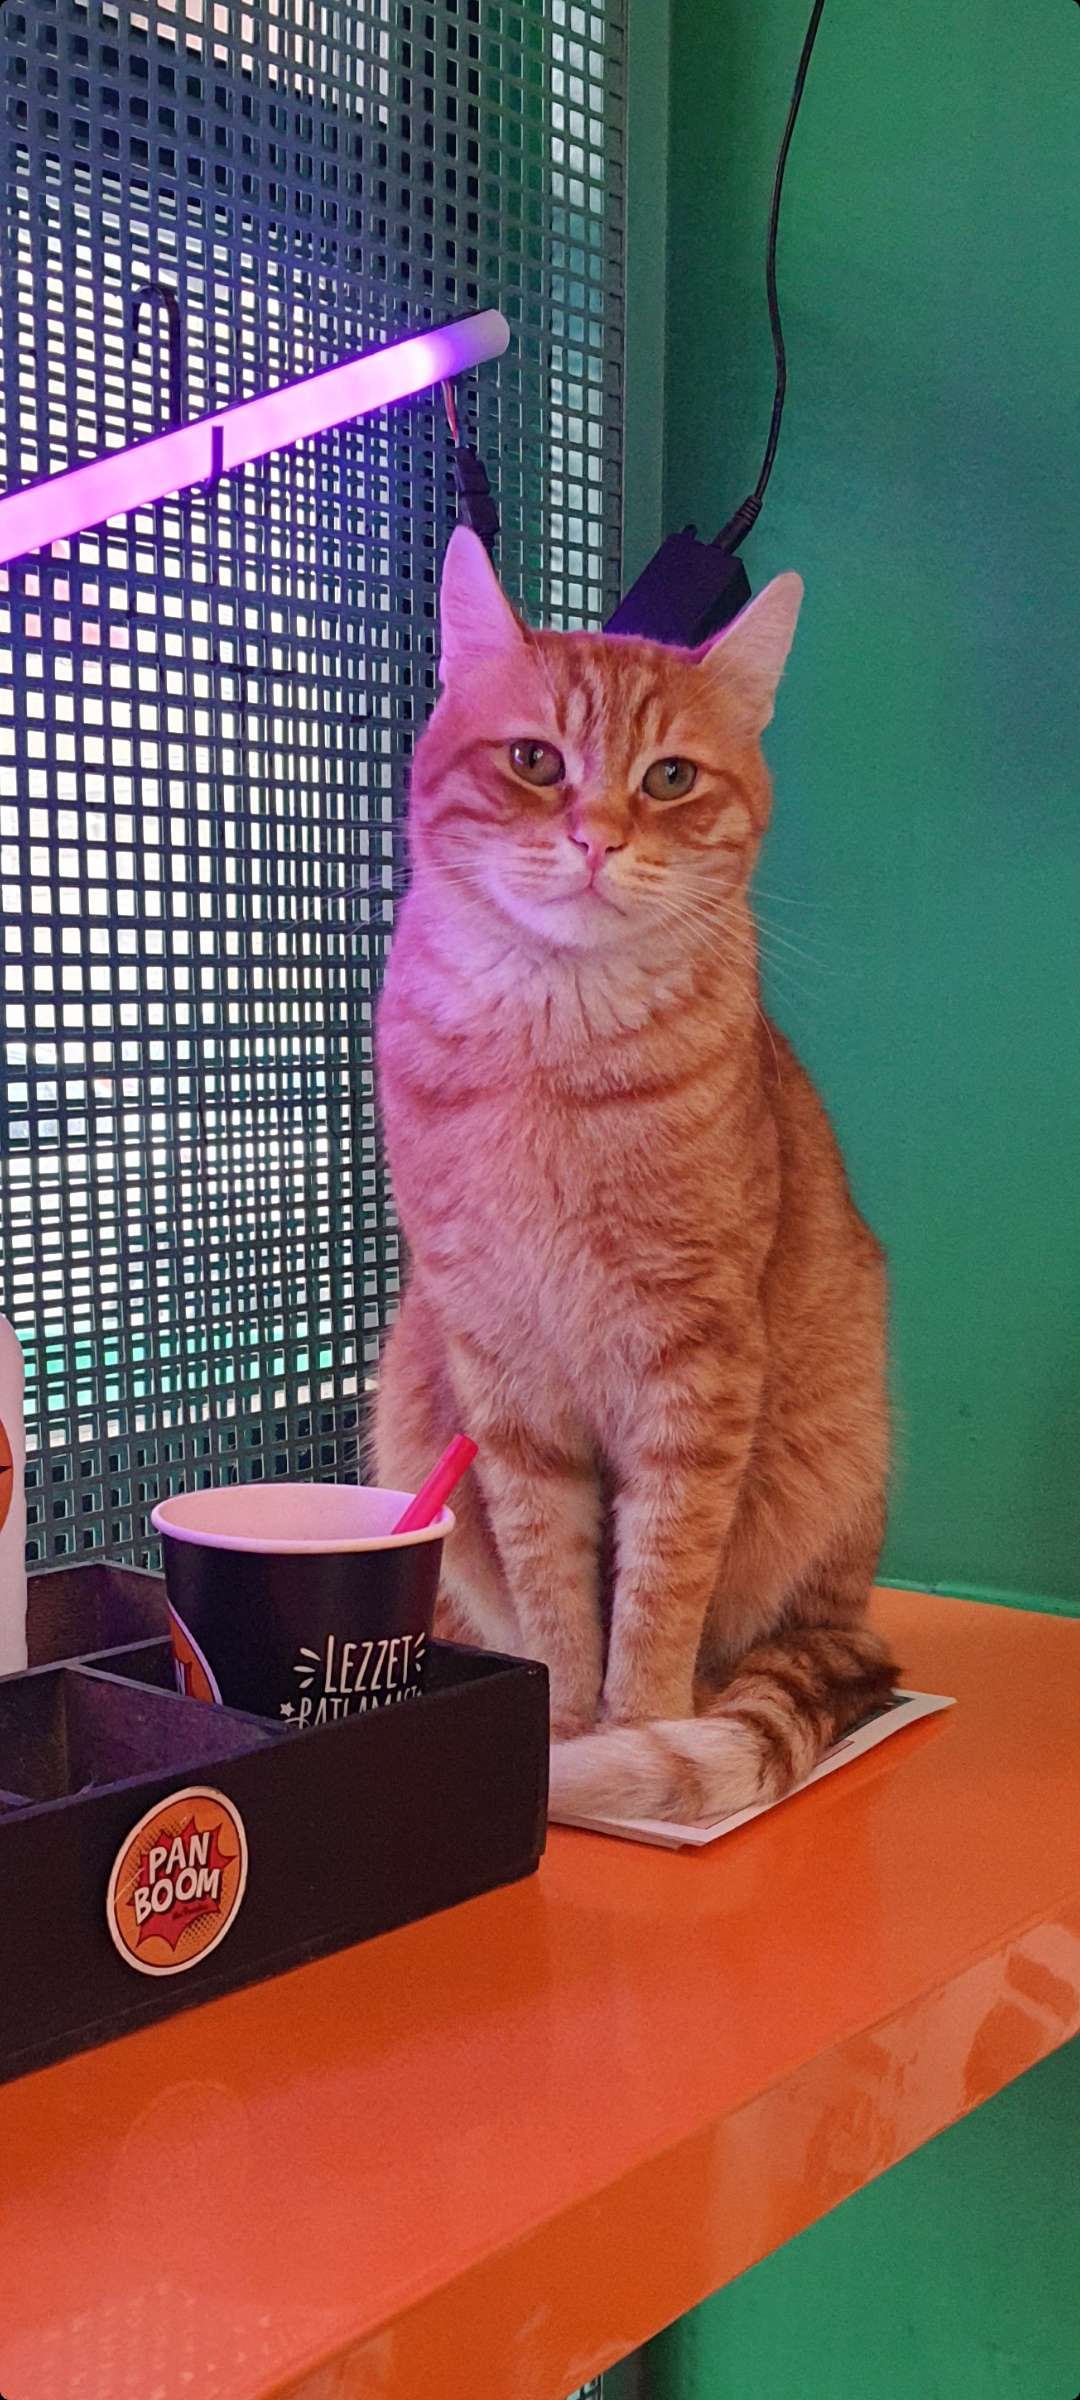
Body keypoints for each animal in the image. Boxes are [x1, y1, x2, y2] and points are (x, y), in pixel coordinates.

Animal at [374, 526, 896, 1823]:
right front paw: (560, 1722)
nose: (598, 837)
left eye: (667, 779)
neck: (548, 1050)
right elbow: (553, 1577)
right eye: (534, 761)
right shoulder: (502, 1372)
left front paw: (636, 1727)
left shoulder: (692, 1368)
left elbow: (661, 1576)